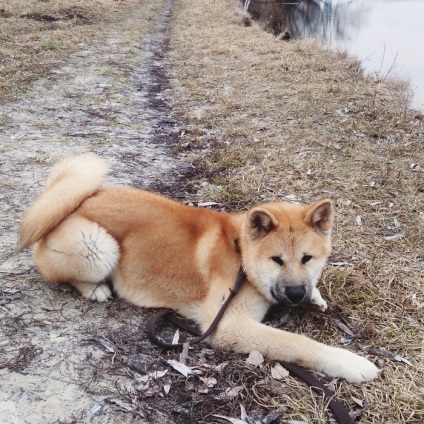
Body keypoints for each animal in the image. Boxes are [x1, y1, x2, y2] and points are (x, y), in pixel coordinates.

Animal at [19, 154, 378, 382]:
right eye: (277, 260)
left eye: (307, 259)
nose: (295, 293)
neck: (241, 255)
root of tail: (79, 202)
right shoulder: (229, 324)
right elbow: (297, 343)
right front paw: (349, 362)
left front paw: (316, 296)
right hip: (98, 247)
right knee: (57, 272)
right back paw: (95, 289)